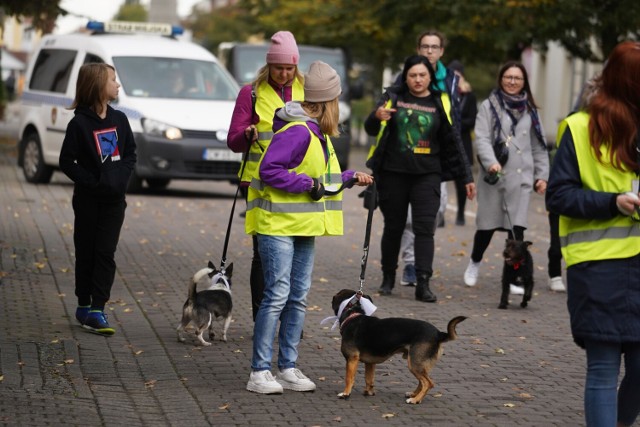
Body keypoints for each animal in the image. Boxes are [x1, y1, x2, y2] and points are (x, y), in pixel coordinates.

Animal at [330, 288, 464, 404]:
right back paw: (414, 395)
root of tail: (438, 333)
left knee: (428, 383)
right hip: (419, 364)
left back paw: (415, 400)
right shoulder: (370, 363)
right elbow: (369, 379)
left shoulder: (352, 359)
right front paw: (369, 392)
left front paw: (346, 393)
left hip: (414, 363)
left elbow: (349, 378)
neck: (352, 315)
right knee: (422, 382)